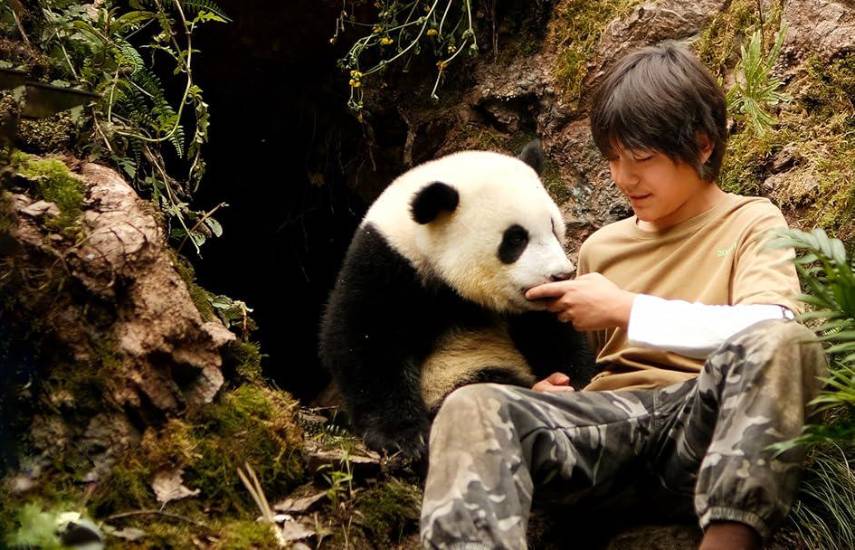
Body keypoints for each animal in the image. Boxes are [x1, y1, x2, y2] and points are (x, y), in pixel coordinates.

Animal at [319, 141, 596, 459]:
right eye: (515, 239)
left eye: (553, 227)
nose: (561, 275)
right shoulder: (388, 263)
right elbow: (365, 340)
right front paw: (403, 437)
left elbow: (551, 332)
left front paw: (578, 381)